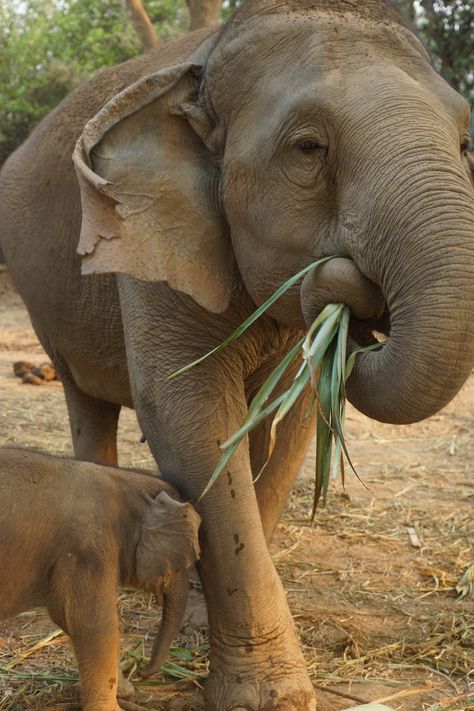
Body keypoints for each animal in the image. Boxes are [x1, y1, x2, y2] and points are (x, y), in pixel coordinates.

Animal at [0, 450, 200, 711]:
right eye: (184, 563)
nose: (143, 670)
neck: (122, 480)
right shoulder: (89, 550)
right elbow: (94, 625)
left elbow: (69, 618)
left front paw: (126, 691)